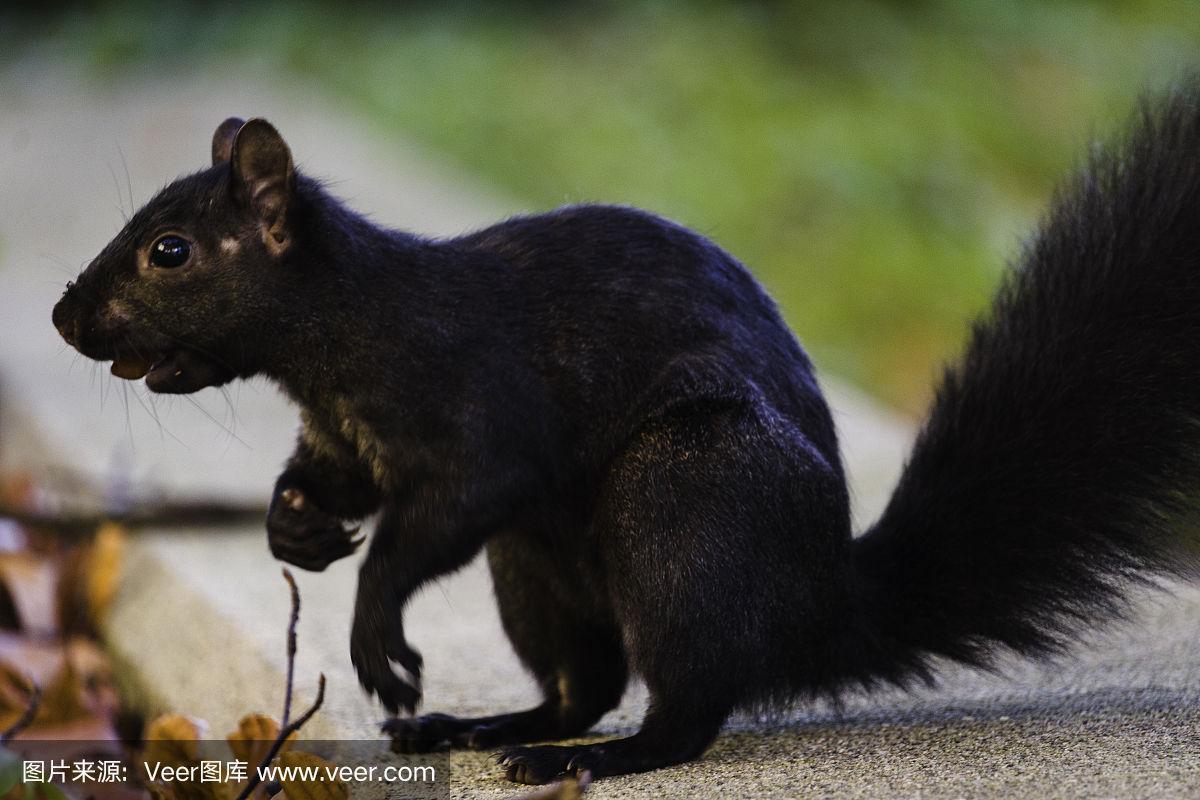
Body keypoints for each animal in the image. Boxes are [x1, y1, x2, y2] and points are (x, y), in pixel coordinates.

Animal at [54, 86, 1200, 782]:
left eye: (169, 250)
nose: (68, 318)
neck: (346, 331)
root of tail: (824, 604)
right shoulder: (344, 436)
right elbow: (332, 484)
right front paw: (294, 528)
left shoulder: (479, 417)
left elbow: (437, 516)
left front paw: (375, 631)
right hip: (537, 569)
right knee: (582, 684)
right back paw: (491, 727)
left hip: (682, 502)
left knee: (680, 708)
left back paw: (600, 759)